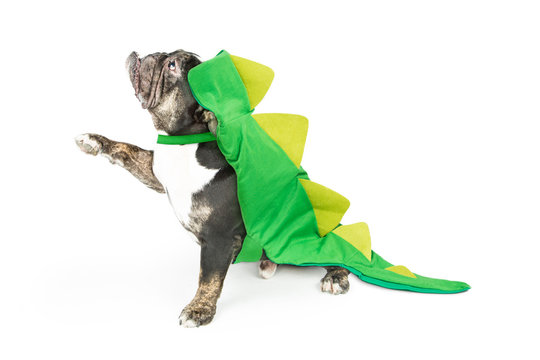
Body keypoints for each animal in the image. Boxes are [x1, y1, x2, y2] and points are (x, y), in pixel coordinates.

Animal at [75, 49, 350, 328]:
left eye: (172, 66)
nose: (154, 54)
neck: (185, 144)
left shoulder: (218, 238)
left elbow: (208, 278)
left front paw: (199, 309)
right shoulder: (156, 173)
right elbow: (129, 150)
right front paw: (95, 141)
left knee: (337, 250)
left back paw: (336, 277)